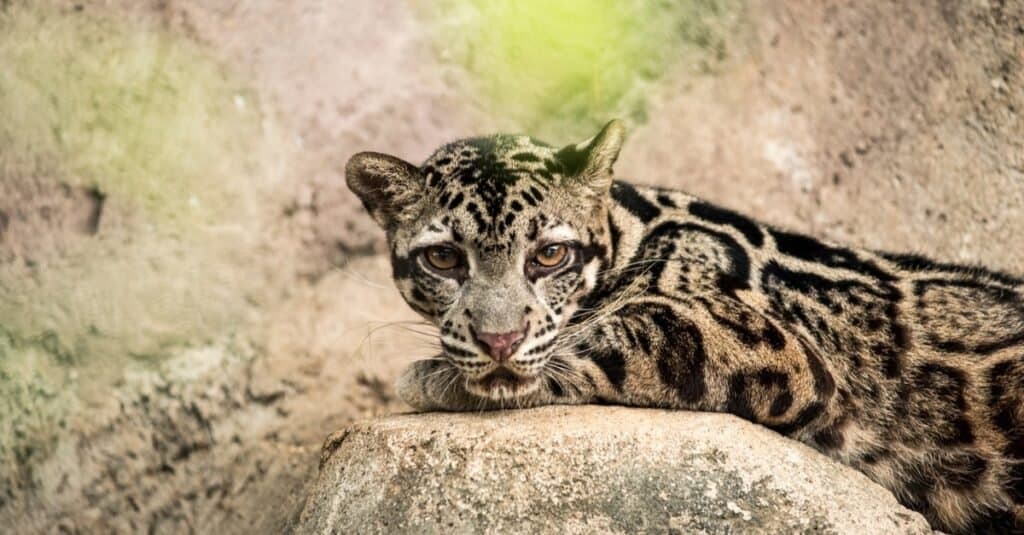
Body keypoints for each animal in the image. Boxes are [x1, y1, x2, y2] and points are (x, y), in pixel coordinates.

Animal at [346, 118, 1024, 528]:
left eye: (550, 254)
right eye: (443, 258)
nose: (498, 340)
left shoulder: (765, 343)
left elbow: (609, 337)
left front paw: (434, 376)